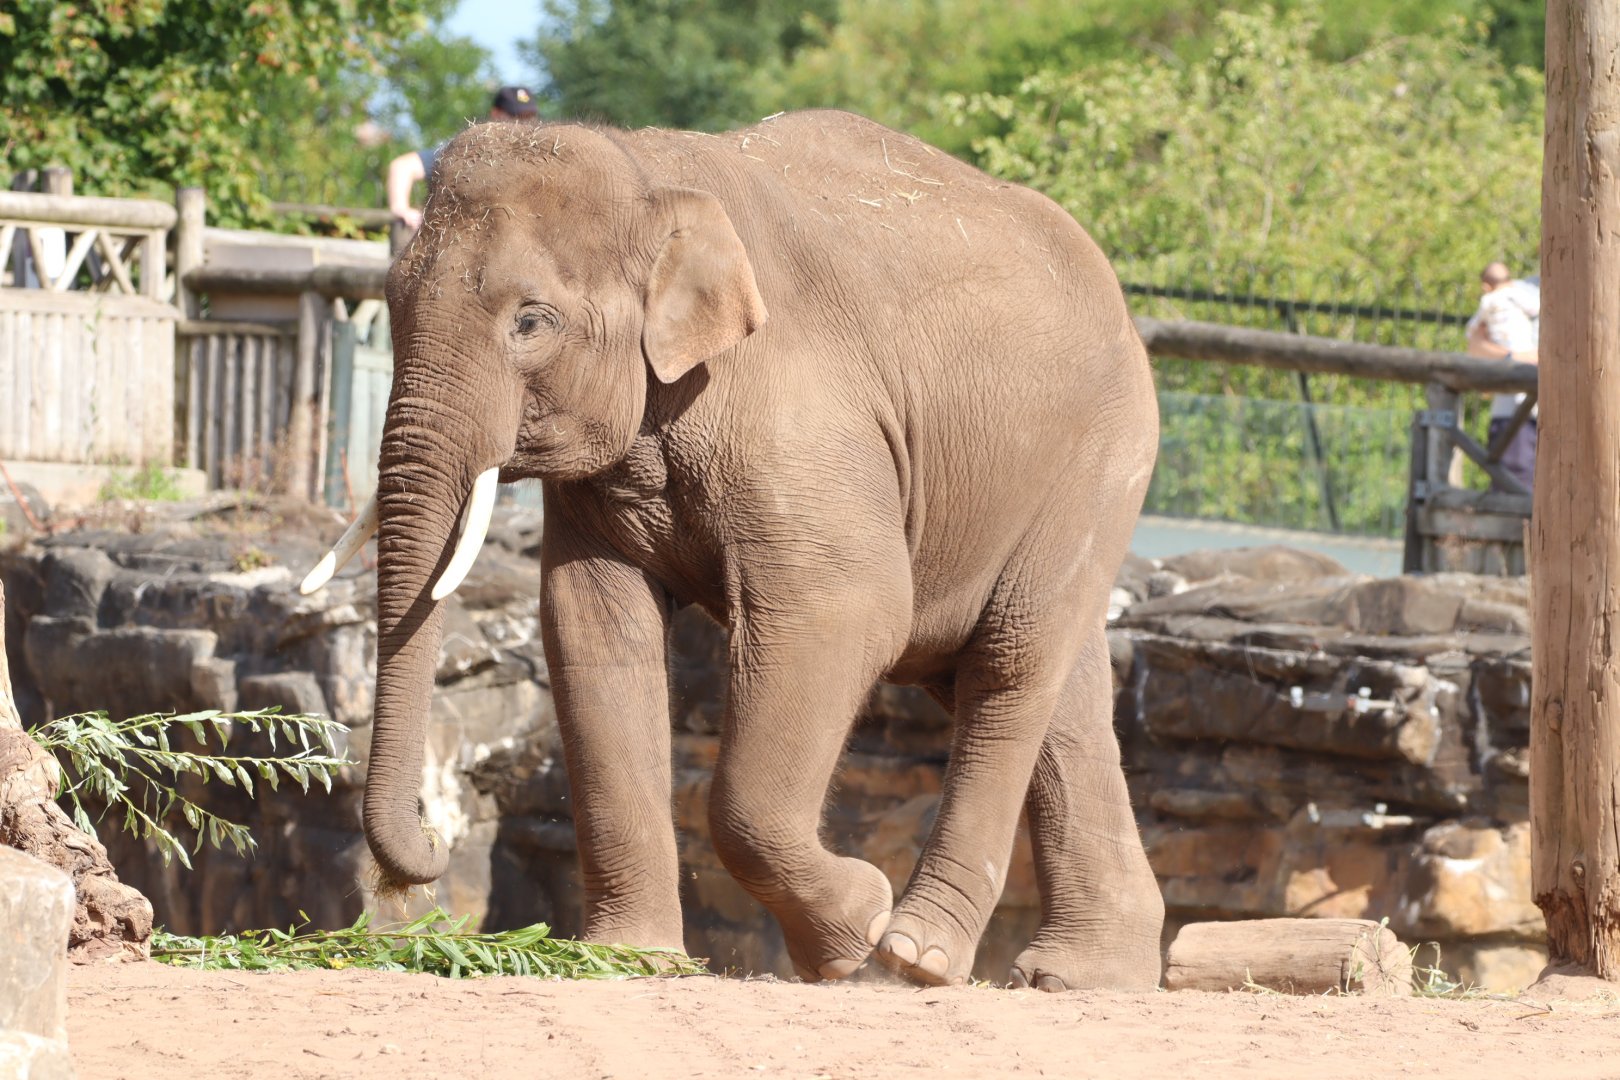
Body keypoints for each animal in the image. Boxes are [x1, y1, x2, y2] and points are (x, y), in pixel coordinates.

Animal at [301, 109, 1164, 992]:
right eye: (390, 304)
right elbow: (593, 627)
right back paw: (1084, 975)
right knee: (1052, 690)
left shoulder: (798, 414)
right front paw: (630, 960)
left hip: (1099, 458)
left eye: (530, 321)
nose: (430, 854)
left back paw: (916, 955)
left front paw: (852, 929)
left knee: (1007, 663)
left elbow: (848, 611)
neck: (647, 174)